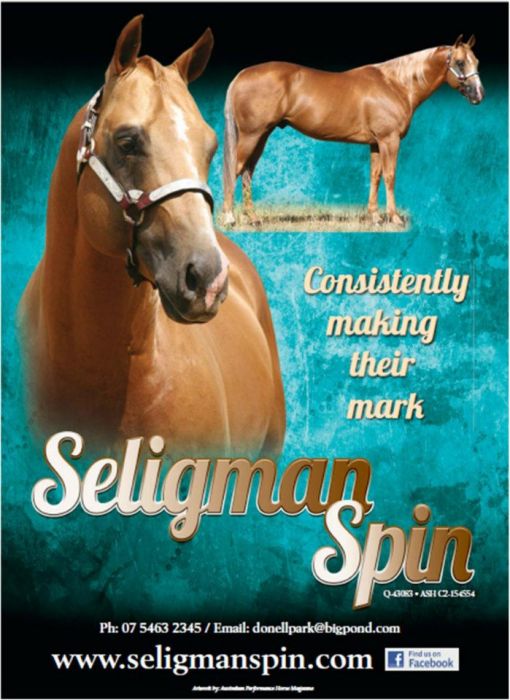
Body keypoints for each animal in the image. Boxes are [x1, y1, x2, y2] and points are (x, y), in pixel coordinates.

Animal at [222, 35, 484, 227]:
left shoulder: (376, 143)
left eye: (477, 62)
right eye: (460, 63)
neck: (395, 84)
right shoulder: (389, 140)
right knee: (235, 170)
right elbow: (390, 175)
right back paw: (229, 218)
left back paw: (253, 218)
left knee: (247, 173)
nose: (479, 94)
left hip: (261, 136)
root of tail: (242, 75)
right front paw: (394, 218)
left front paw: (375, 217)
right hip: (251, 135)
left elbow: (375, 176)